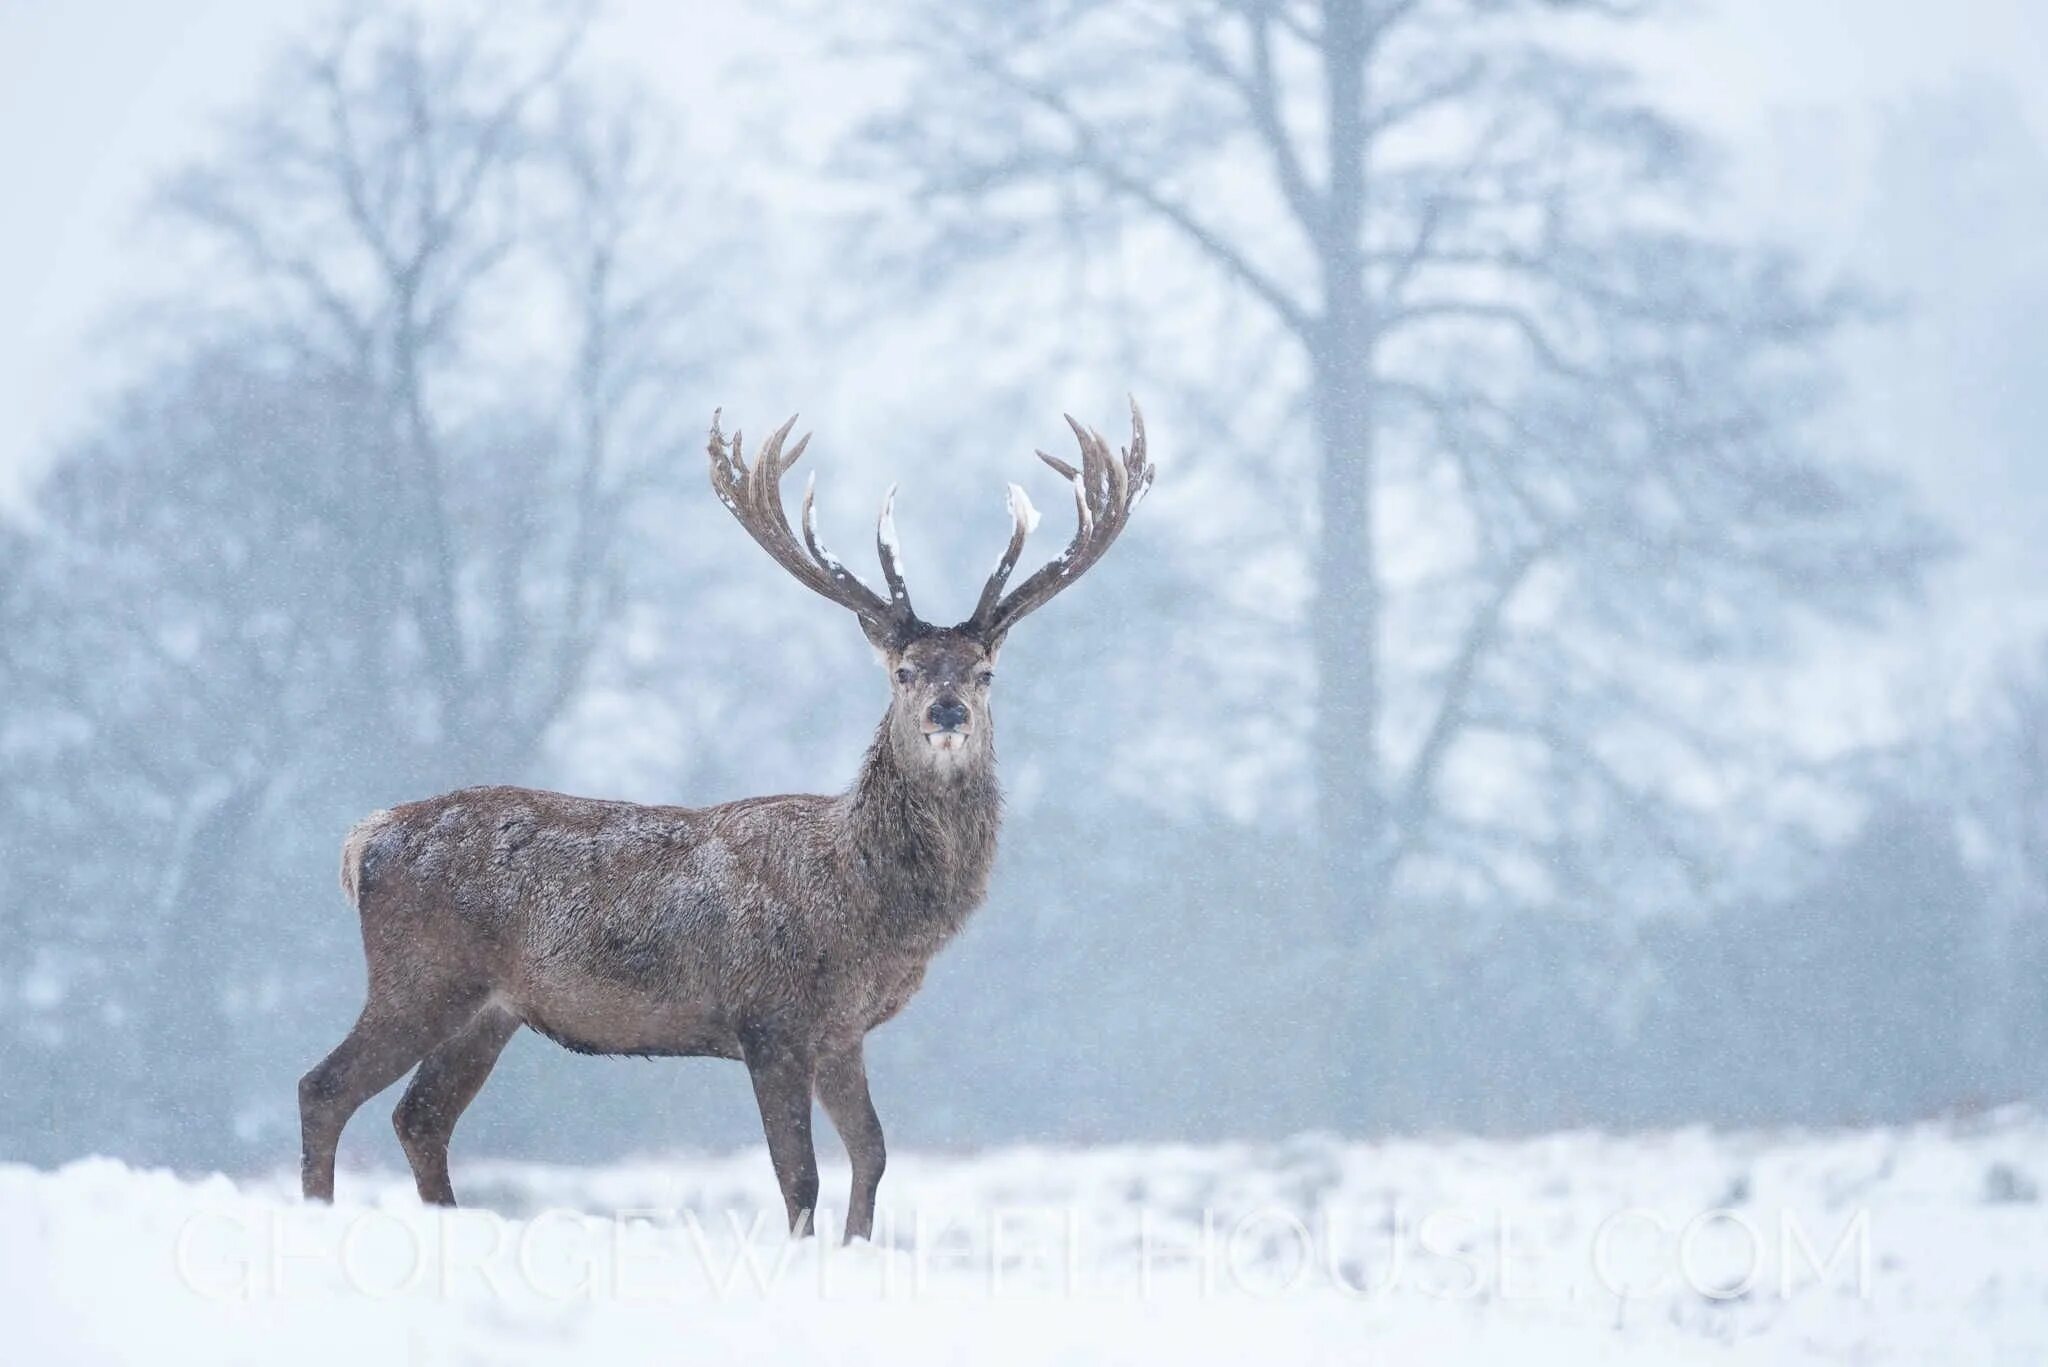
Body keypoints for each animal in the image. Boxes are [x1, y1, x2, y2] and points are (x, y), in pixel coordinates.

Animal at [296, 403, 1155, 1237]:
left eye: (984, 671)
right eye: (905, 670)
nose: (948, 711)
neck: (867, 906)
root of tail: (366, 837)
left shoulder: (840, 1030)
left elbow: (873, 1155)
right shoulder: (769, 1017)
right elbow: (798, 1175)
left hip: (491, 1009)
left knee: (421, 1117)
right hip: (422, 973)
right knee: (324, 1086)